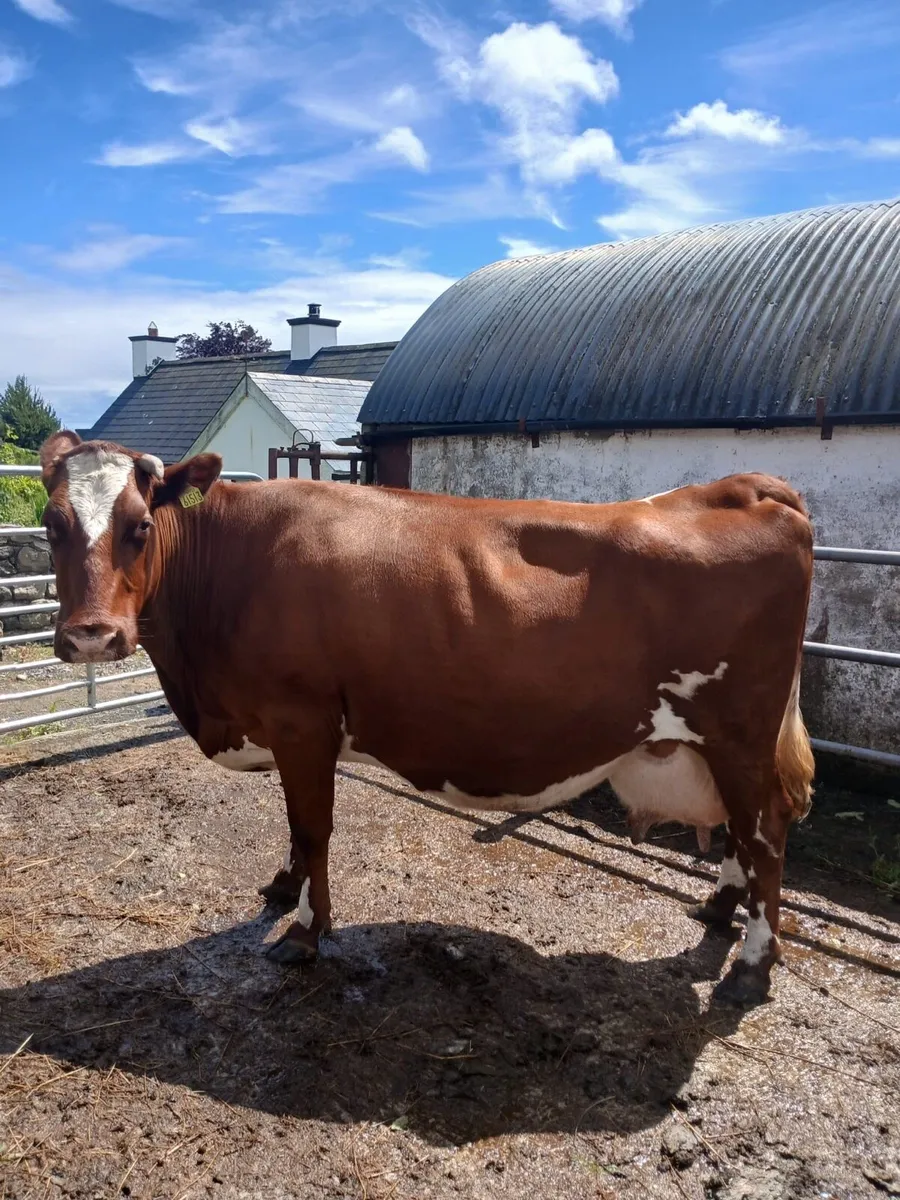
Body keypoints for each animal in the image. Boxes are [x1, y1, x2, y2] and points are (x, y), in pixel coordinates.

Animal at [39, 431, 815, 1007]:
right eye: (52, 524)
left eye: (141, 526)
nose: (92, 636)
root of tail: (738, 486)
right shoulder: (287, 730)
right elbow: (293, 823)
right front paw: (283, 888)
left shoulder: (301, 720)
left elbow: (312, 827)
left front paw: (305, 932)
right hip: (718, 743)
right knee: (741, 833)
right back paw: (719, 909)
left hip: (740, 732)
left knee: (767, 829)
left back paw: (752, 965)